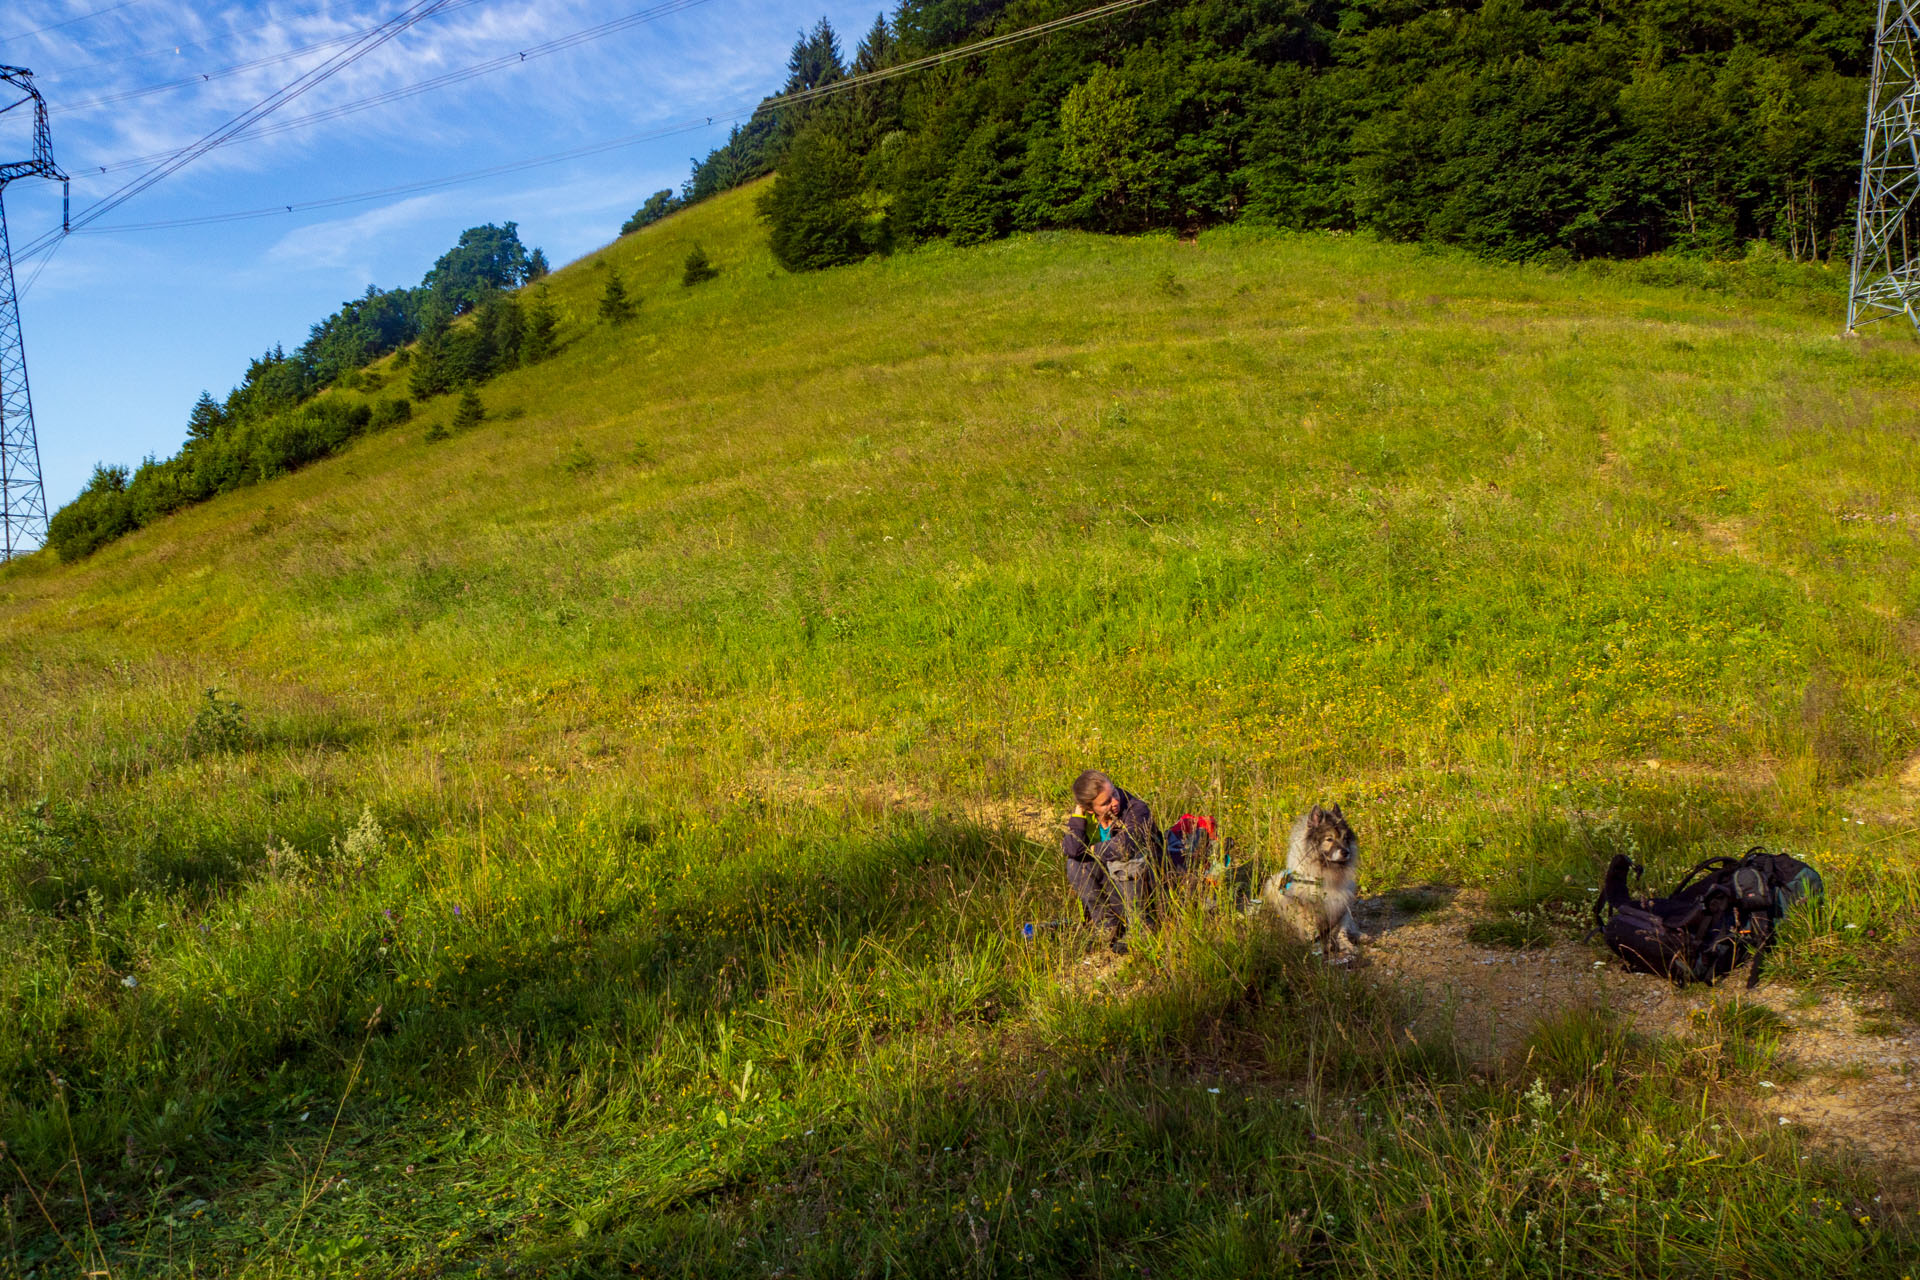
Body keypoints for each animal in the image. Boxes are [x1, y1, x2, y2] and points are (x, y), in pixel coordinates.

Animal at [1259, 805, 1367, 955]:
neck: (1326, 877)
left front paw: (1347, 946)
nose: (1346, 852)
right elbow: (1312, 931)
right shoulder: (1308, 910)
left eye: (1345, 838)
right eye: (1329, 839)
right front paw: (1317, 949)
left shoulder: (1340, 909)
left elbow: (1341, 931)